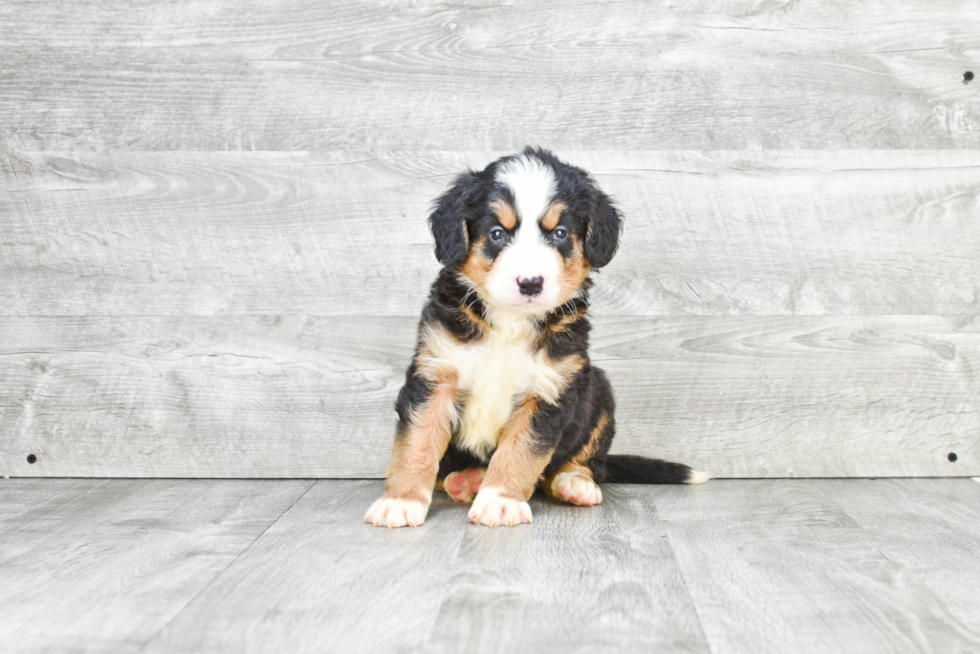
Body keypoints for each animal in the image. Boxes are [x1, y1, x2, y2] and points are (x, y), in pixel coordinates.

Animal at [364, 146, 708, 532]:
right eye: (497, 234)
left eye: (559, 233)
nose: (530, 283)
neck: (509, 321)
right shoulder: (435, 376)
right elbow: (417, 443)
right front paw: (400, 501)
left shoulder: (548, 390)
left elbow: (520, 452)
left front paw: (500, 501)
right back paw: (466, 481)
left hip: (598, 392)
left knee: (585, 462)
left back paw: (573, 484)